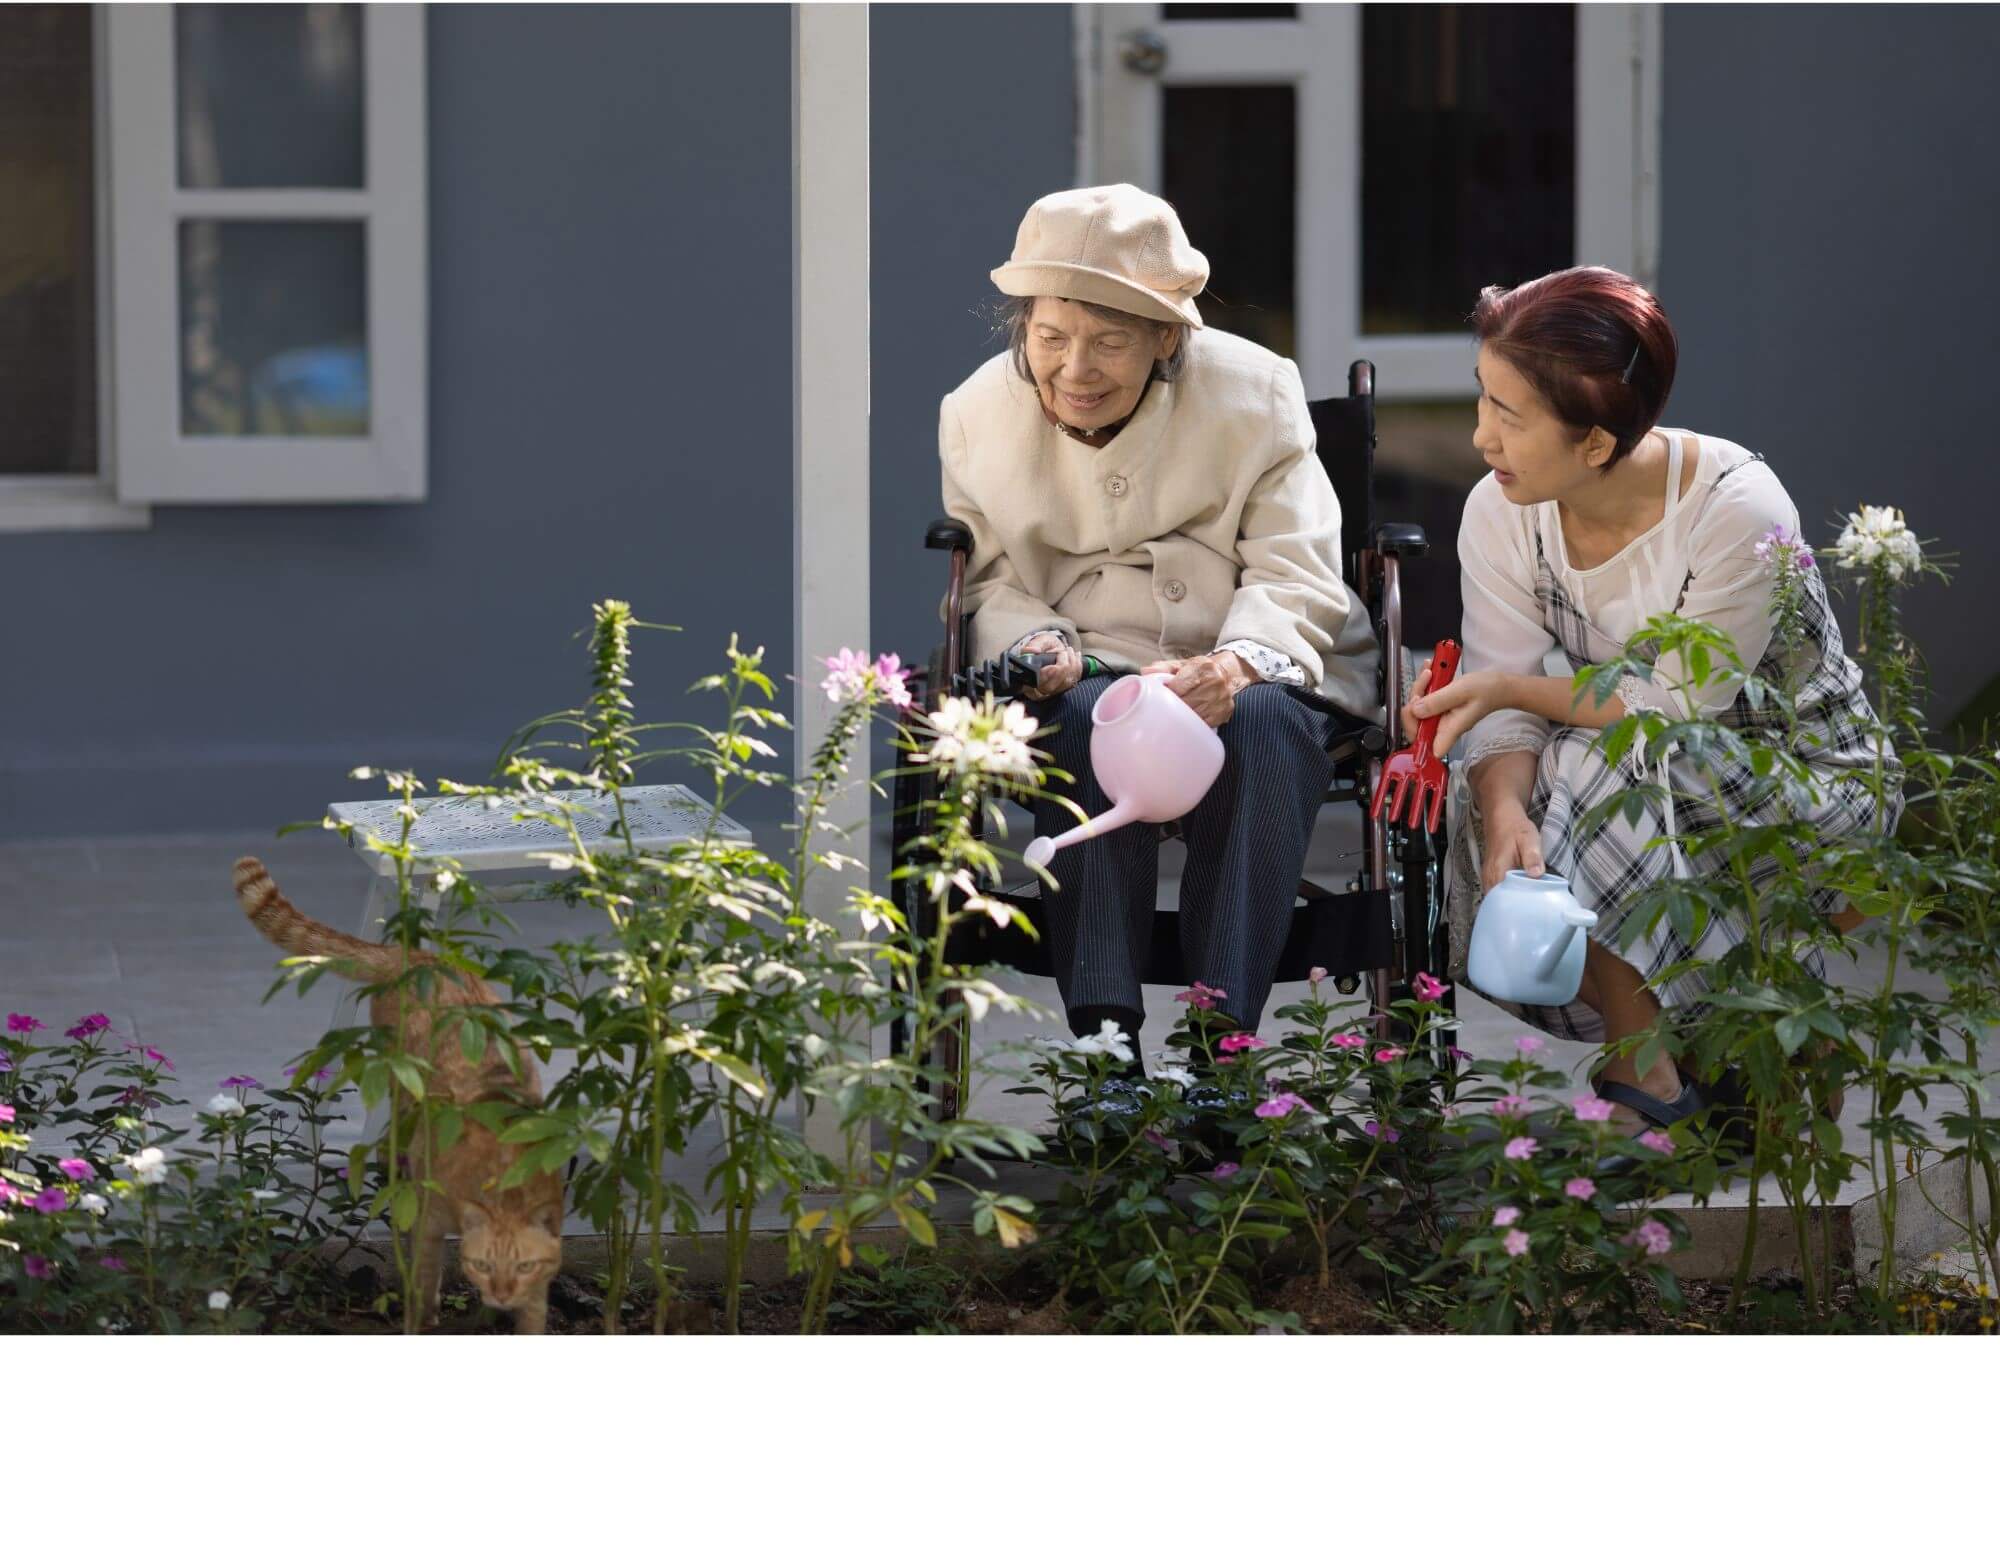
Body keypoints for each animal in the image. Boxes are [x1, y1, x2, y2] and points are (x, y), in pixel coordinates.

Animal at [236, 852, 564, 1336]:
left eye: (524, 1267)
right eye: (483, 1265)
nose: (500, 1296)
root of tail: (412, 953)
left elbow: (534, 1317)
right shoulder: (428, 1220)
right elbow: (422, 1280)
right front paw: (423, 1317)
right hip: (399, 1087)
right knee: (387, 1148)